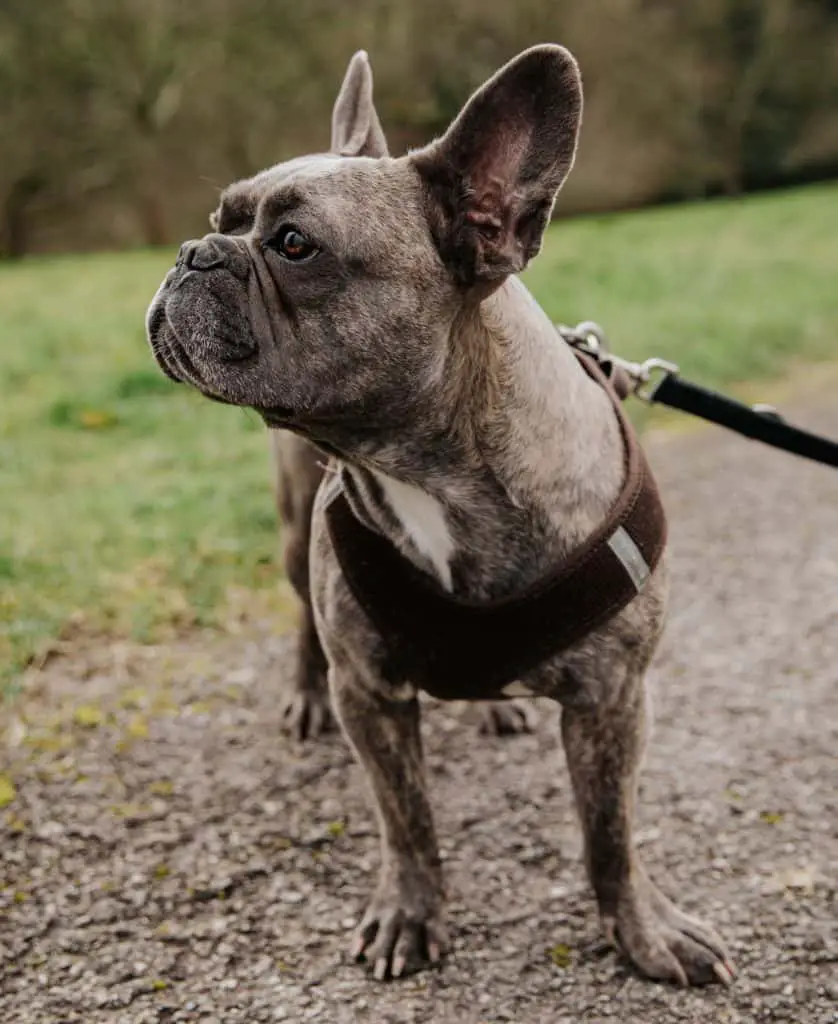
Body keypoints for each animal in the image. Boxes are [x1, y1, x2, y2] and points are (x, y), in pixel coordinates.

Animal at [146, 46, 733, 983]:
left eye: (294, 245)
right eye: (221, 219)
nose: (193, 251)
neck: (429, 471)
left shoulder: (614, 698)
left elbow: (610, 832)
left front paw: (643, 931)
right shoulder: (369, 693)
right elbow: (406, 820)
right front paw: (410, 916)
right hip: (291, 538)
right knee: (302, 622)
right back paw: (304, 699)